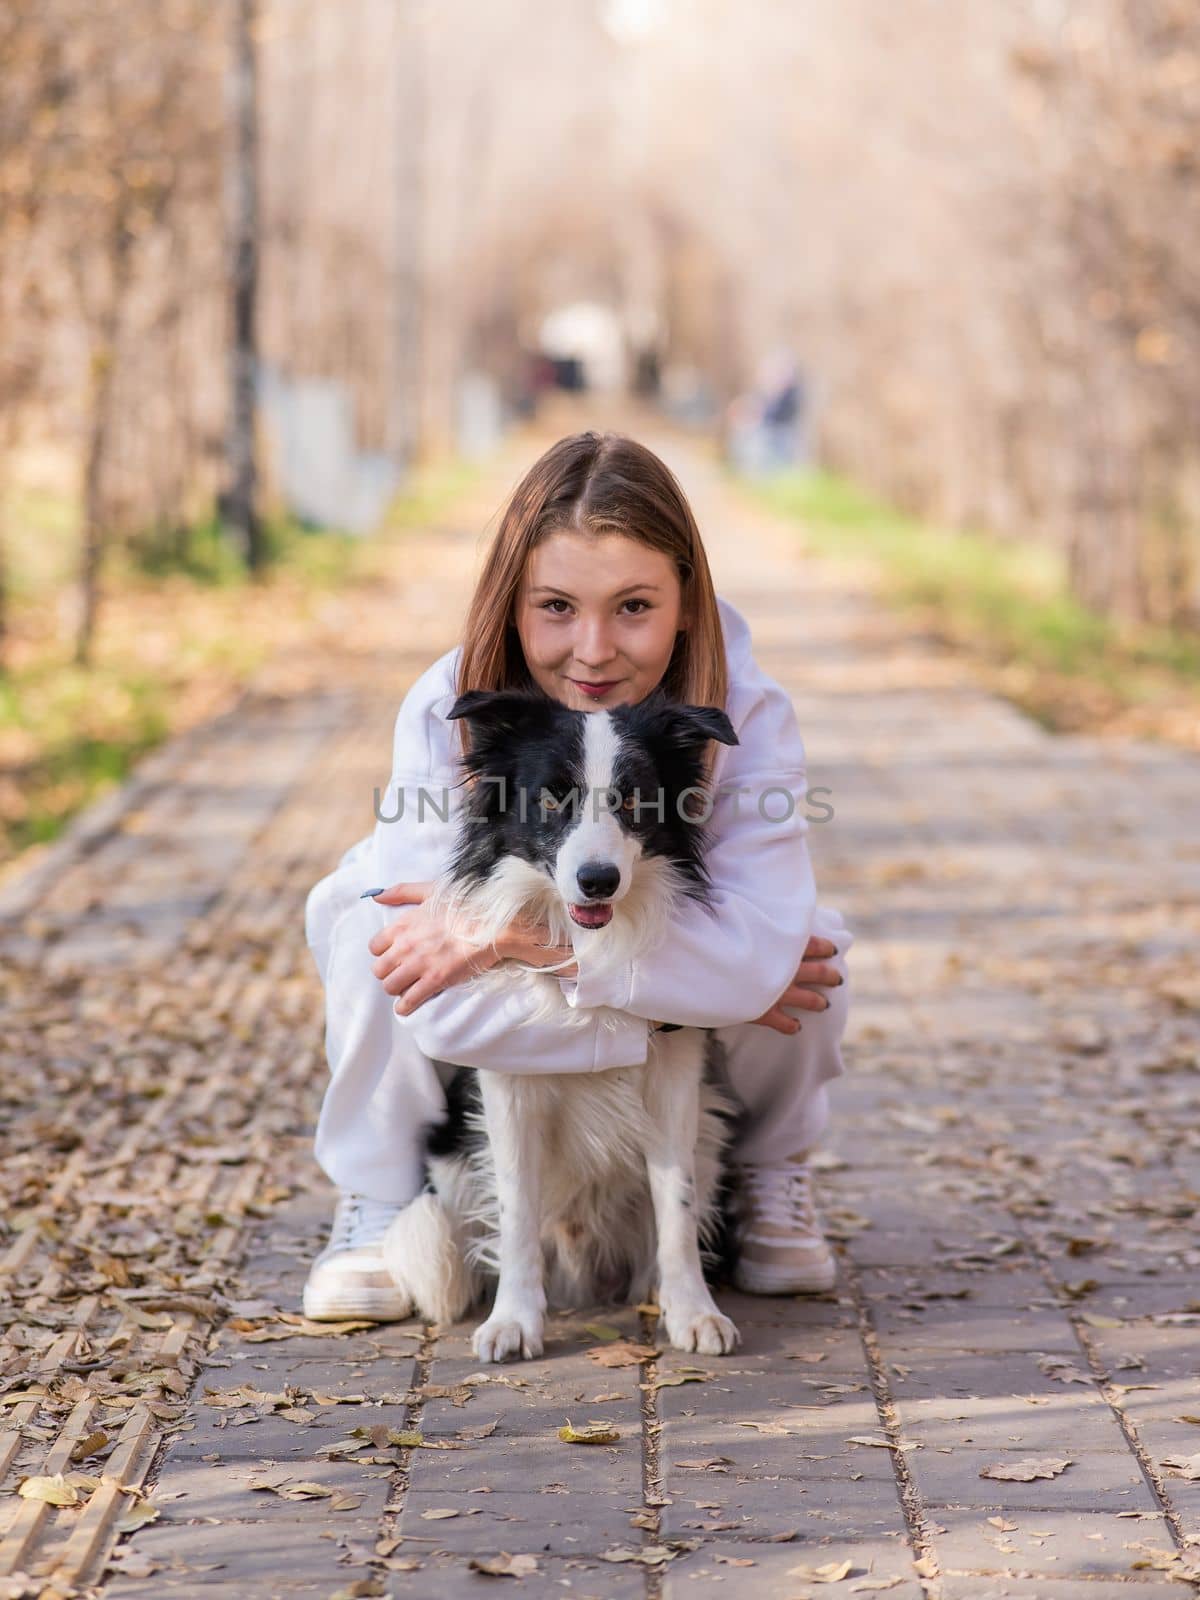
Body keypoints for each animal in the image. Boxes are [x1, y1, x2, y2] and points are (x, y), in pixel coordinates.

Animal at [385, 688, 742, 1363]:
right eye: (551, 798)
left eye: (633, 799)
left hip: (710, 1139)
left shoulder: (677, 1080)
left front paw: (694, 1311)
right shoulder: (506, 1083)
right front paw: (514, 1320)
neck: (585, 940)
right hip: (450, 1159)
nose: (597, 880)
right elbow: (517, 1211)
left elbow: (677, 1206)